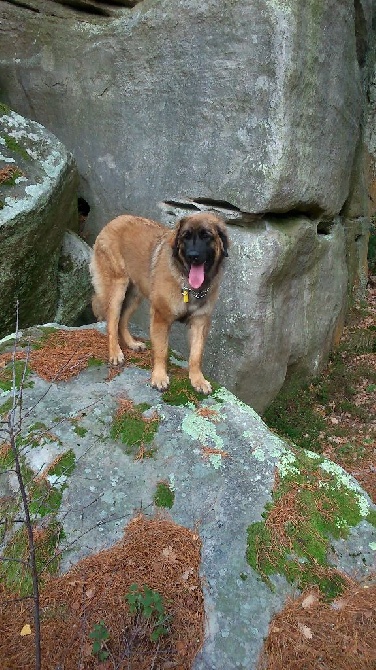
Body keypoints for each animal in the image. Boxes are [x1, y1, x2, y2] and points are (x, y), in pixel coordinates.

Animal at [90, 214, 229, 394]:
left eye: (206, 236)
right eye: (185, 237)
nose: (193, 256)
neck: (186, 283)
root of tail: (115, 220)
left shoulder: (200, 321)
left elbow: (196, 354)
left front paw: (198, 379)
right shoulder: (160, 317)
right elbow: (162, 350)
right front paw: (159, 377)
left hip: (135, 294)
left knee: (122, 320)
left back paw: (132, 344)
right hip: (118, 288)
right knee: (112, 322)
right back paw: (115, 353)